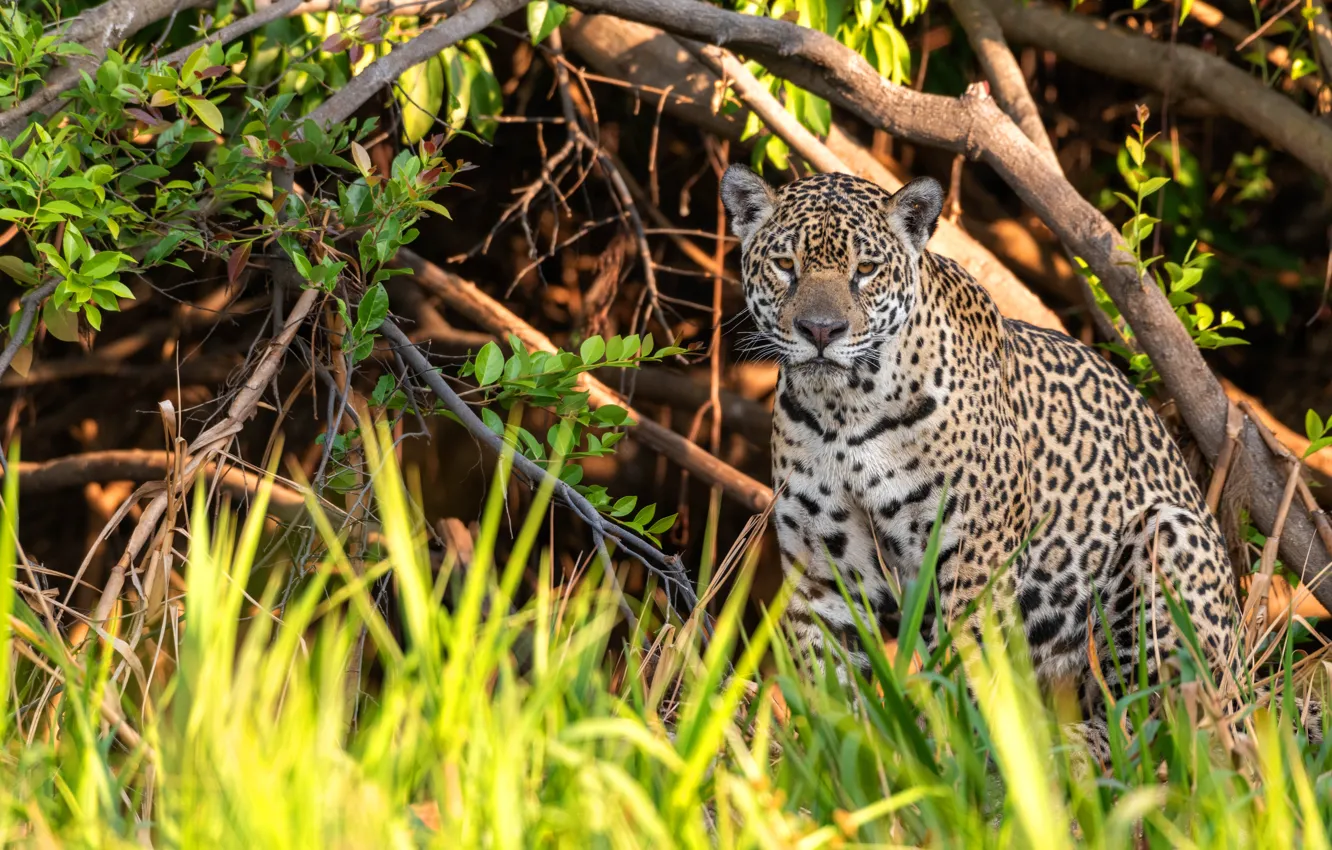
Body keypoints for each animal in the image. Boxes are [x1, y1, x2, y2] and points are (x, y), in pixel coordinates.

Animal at [721, 164, 1250, 752]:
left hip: (1168, 537)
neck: (844, 412)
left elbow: (964, 666)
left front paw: (950, 754)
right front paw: (840, 756)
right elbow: (828, 680)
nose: (820, 330)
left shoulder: (974, 555)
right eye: (785, 265)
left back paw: (1070, 750)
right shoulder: (823, 567)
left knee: (1164, 728)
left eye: (866, 270)